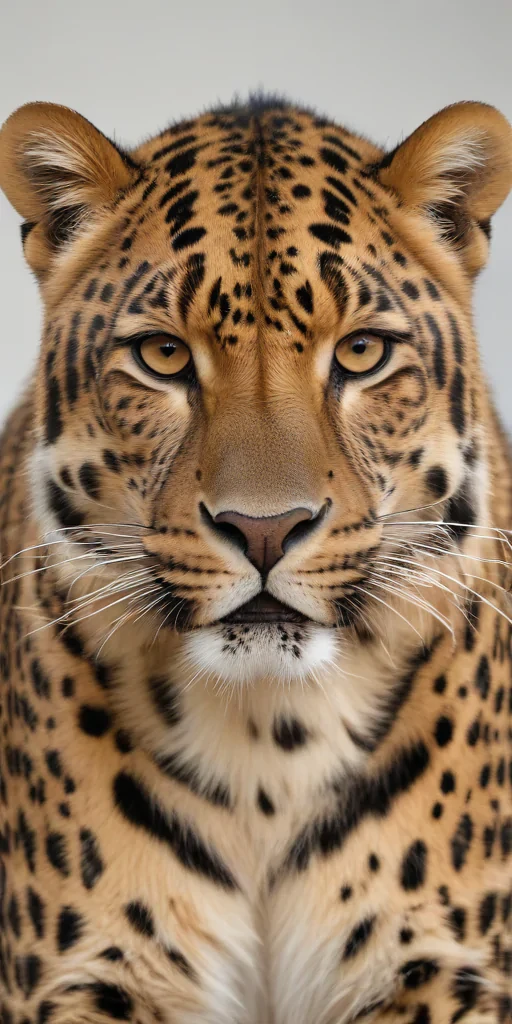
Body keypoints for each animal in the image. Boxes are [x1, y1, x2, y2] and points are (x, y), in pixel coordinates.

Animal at [0, 92, 511, 1024]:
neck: (269, 739)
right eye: (163, 355)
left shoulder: (442, 968)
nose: (265, 530)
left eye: (362, 353)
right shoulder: (84, 975)